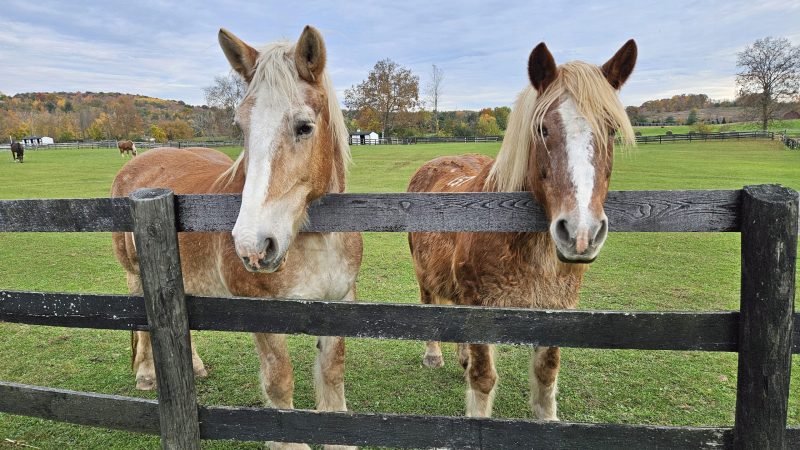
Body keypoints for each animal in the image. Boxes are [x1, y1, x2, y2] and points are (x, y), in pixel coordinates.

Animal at [112, 26, 361, 449]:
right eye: (241, 126)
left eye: (304, 126)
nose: (253, 246)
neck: (316, 240)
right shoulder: (261, 313)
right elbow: (279, 381)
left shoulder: (339, 302)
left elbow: (333, 374)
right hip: (134, 272)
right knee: (142, 320)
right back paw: (146, 374)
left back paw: (194, 367)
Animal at [407, 40, 637, 419]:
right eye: (542, 128)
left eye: (611, 130)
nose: (581, 234)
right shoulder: (480, 308)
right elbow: (484, 379)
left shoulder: (557, 308)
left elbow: (546, 374)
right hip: (424, 272)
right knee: (429, 302)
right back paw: (433, 355)